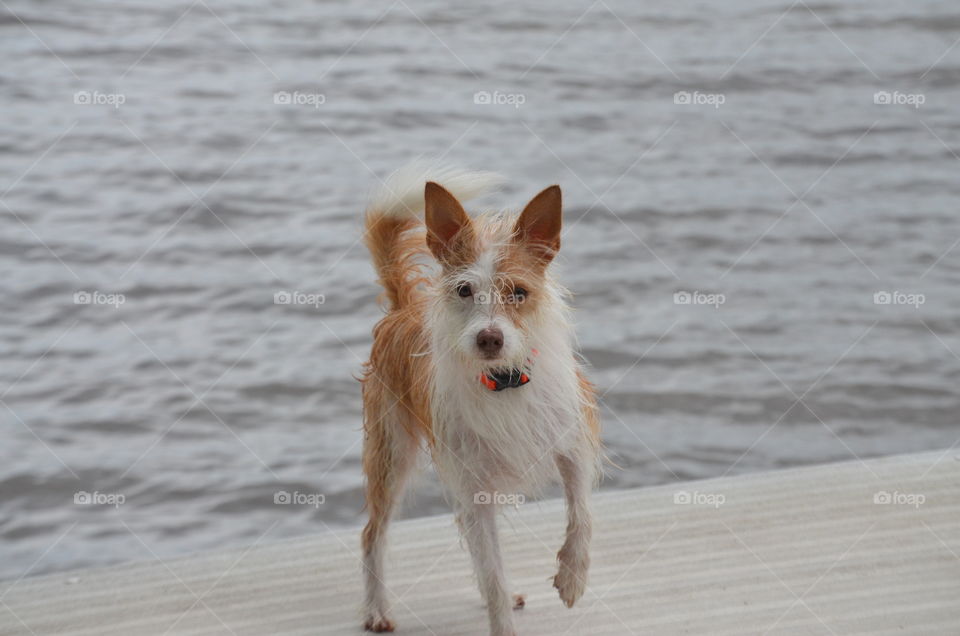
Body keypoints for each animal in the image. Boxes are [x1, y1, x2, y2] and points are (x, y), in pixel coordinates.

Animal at [360, 164, 600, 636]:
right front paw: (502, 619)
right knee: (373, 534)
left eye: (519, 293)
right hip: (391, 454)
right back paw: (376, 609)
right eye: (464, 291)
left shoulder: (572, 442)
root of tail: (402, 307)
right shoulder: (475, 490)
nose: (490, 338)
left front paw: (572, 577)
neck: (505, 380)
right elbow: (491, 575)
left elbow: (580, 511)